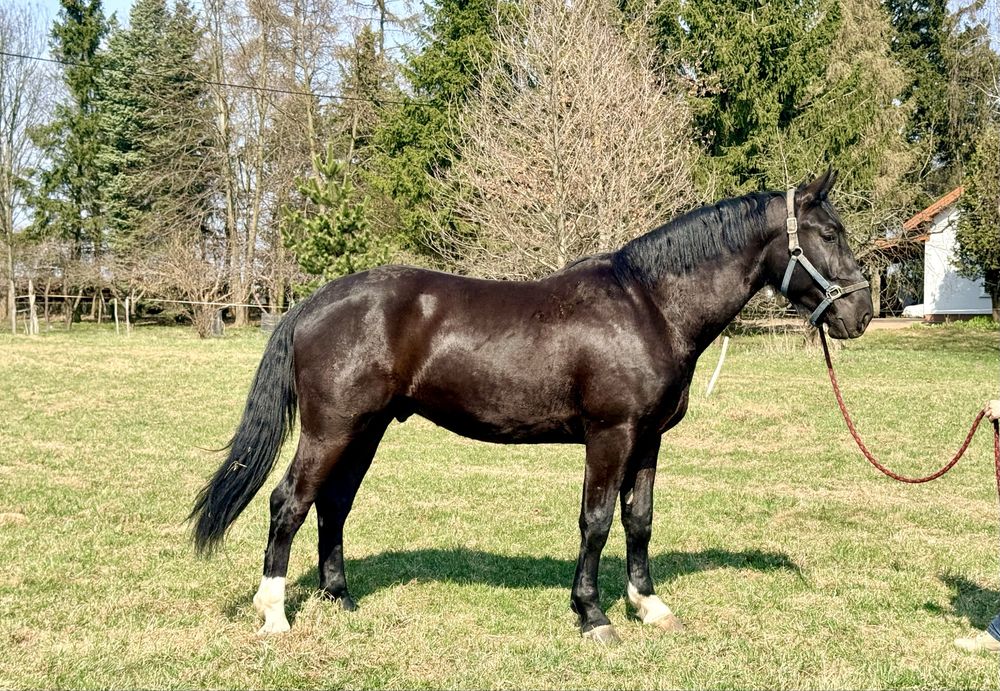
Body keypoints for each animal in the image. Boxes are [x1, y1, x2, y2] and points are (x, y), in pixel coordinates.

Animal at [190, 170, 872, 644]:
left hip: (367, 429)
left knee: (333, 505)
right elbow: (596, 521)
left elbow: (639, 520)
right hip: (330, 430)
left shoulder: (648, 439)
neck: (650, 306)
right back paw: (274, 614)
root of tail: (313, 302)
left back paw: (340, 597)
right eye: (829, 233)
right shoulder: (610, 435)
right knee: (289, 502)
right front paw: (593, 615)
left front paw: (650, 606)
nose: (860, 312)